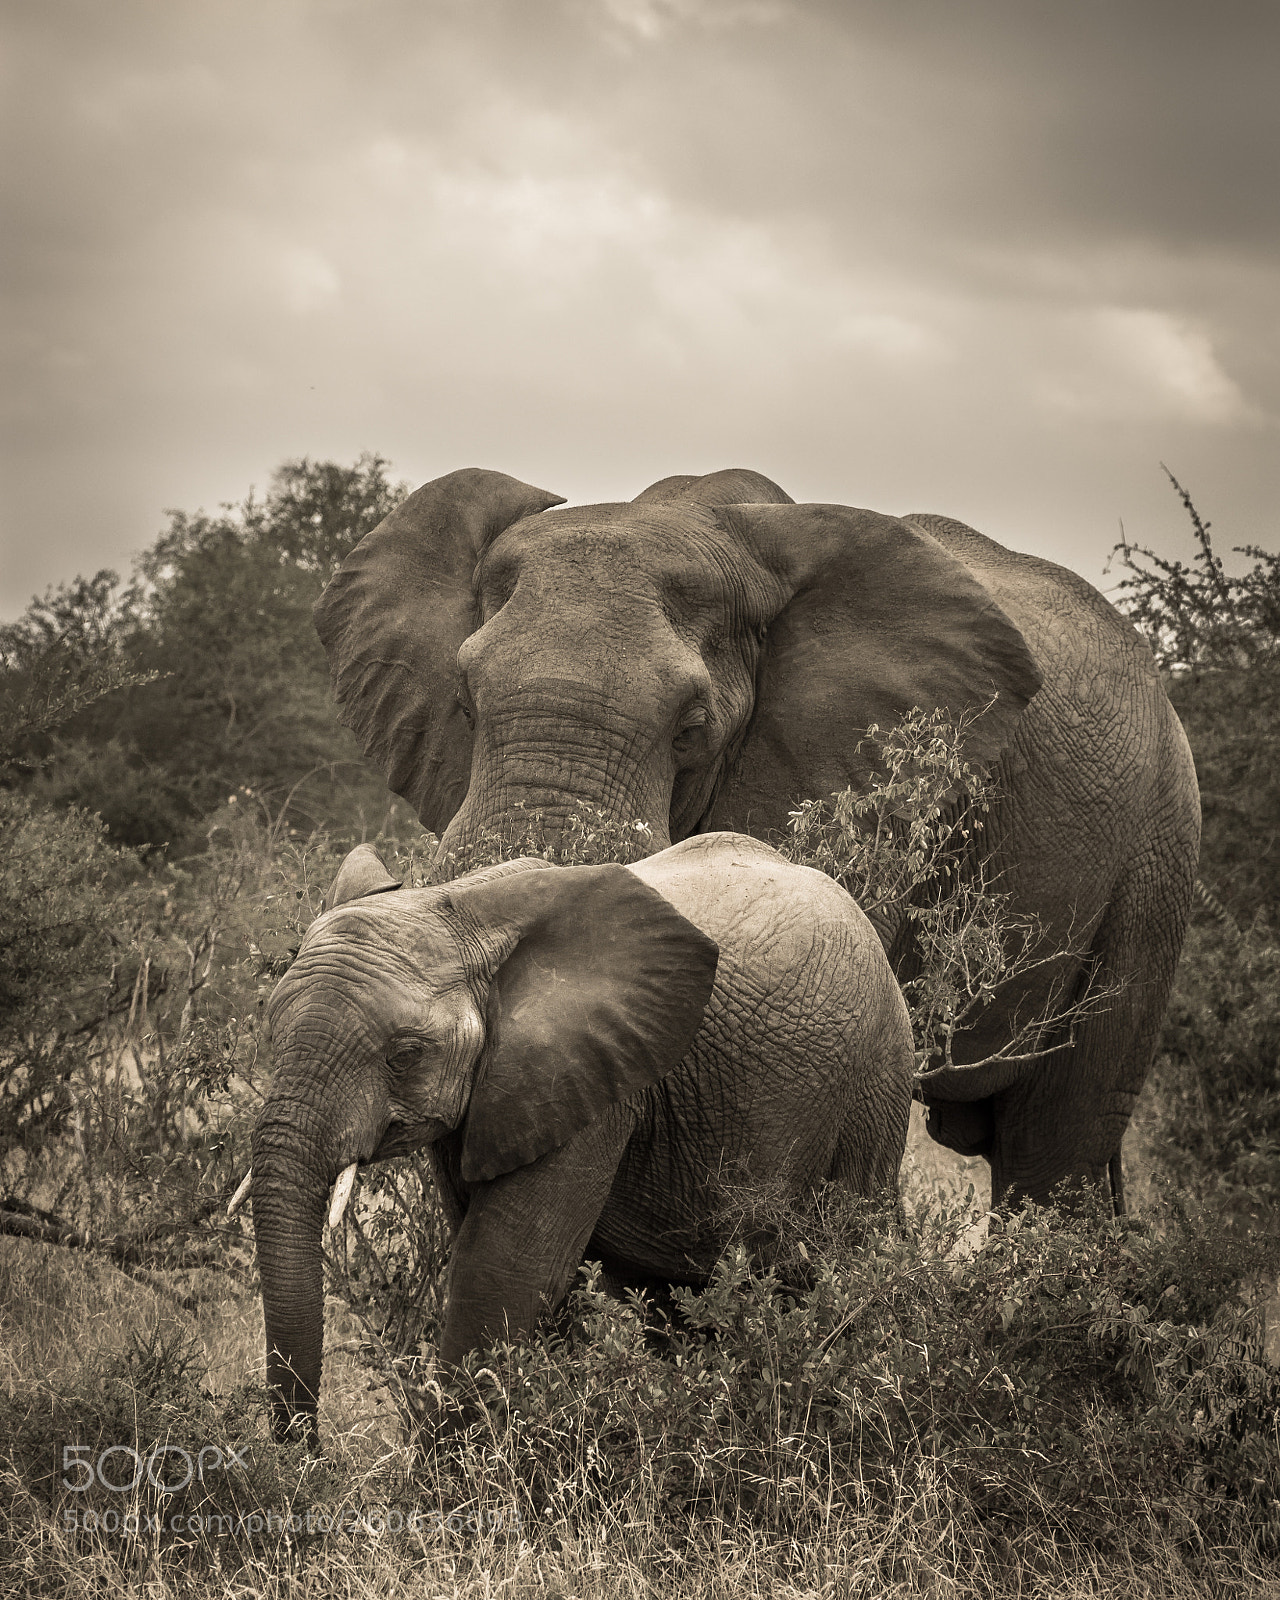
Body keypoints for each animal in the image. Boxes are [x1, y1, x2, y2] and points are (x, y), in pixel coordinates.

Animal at [248, 831, 915, 1439]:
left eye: (406, 1054)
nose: (310, 1459)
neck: (460, 906)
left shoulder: (594, 1082)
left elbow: (508, 1274)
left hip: (875, 1084)